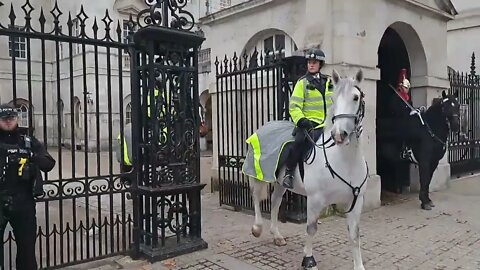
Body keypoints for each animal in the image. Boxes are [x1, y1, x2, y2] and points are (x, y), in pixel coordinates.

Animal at [249, 69, 370, 270]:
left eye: (356, 97)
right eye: (334, 99)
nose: (339, 134)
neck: (345, 162)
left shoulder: (355, 201)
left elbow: (355, 234)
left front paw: (359, 266)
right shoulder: (315, 200)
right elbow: (311, 229)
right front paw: (309, 260)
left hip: (280, 183)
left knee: (275, 202)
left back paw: (277, 236)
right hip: (259, 176)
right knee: (257, 198)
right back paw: (257, 228)